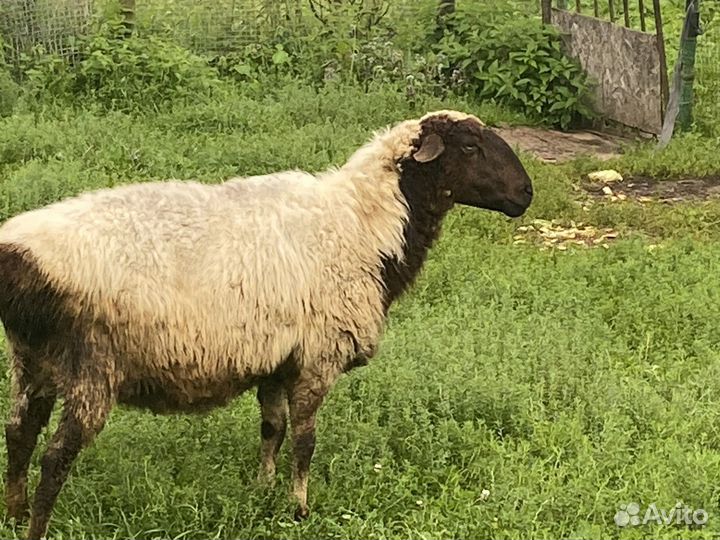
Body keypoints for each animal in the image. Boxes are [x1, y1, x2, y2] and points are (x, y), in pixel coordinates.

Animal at [0, 109, 533, 540]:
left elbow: (271, 428)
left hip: (32, 360)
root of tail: (16, 256)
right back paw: (35, 528)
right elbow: (305, 440)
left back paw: (13, 512)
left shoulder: (278, 359)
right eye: (470, 146)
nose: (526, 193)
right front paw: (299, 508)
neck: (363, 226)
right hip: (92, 367)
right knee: (54, 456)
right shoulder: (320, 355)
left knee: (19, 433)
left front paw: (262, 489)